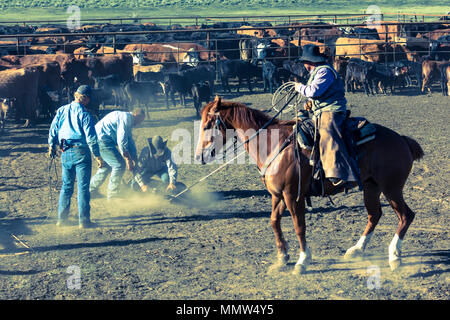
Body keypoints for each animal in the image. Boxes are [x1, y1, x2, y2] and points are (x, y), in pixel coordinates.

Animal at [195, 96, 424, 274]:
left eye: (207, 126)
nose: (198, 157)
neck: (272, 144)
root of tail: (402, 140)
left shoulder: (292, 195)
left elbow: (299, 226)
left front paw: (302, 260)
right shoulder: (278, 195)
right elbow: (274, 221)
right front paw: (282, 256)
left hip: (391, 188)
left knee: (406, 216)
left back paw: (394, 255)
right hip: (371, 187)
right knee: (374, 215)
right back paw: (356, 250)